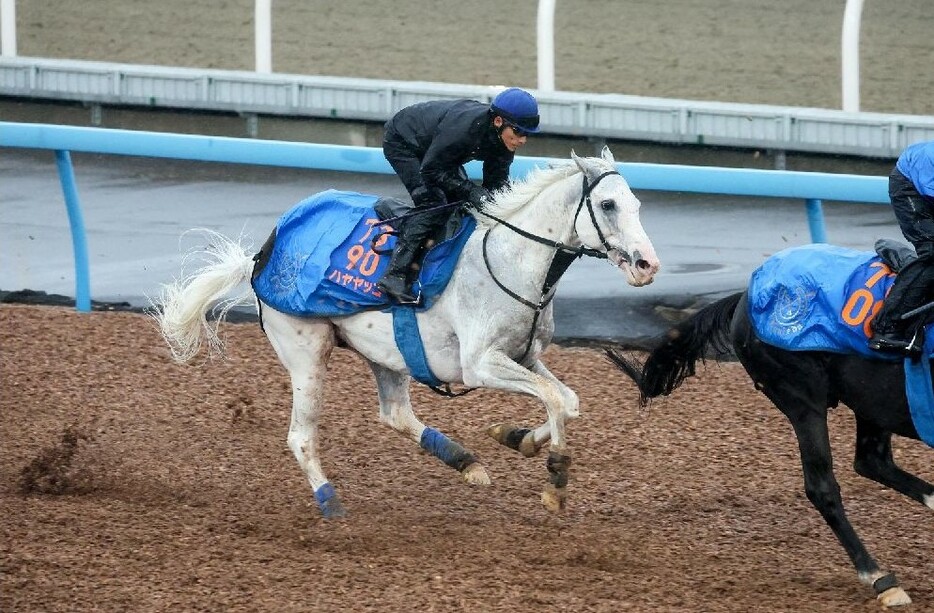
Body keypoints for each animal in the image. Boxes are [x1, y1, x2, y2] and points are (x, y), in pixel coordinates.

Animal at [157, 147, 660, 516]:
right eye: (608, 204)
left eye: (638, 204)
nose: (647, 265)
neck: (511, 260)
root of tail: (260, 256)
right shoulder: (480, 365)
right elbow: (555, 399)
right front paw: (555, 479)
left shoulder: (525, 356)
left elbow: (568, 401)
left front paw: (517, 438)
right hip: (306, 352)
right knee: (301, 436)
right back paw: (329, 500)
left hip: (386, 352)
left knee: (395, 413)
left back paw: (466, 462)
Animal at [616, 284, 934, 608]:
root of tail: (744, 297)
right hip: (802, 398)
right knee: (823, 486)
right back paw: (879, 578)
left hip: (870, 399)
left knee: (872, 460)